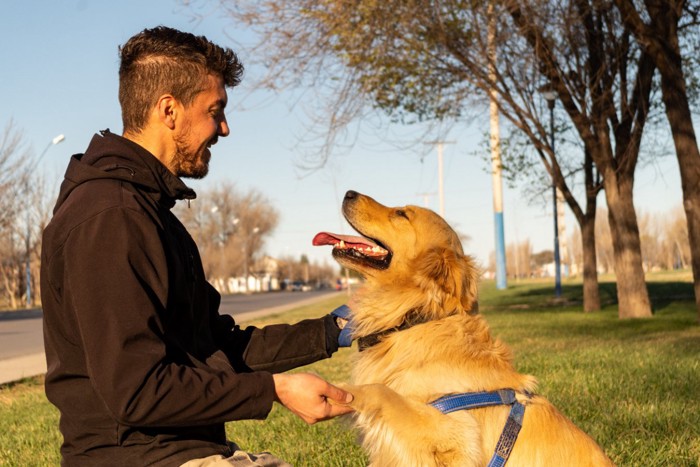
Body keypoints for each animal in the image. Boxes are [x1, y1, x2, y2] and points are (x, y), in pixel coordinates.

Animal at [312, 191, 612, 467]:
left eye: (401, 214)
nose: (349, 193)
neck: (416, 319)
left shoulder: (454, 430)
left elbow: (381, 391)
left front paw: (339, 390)